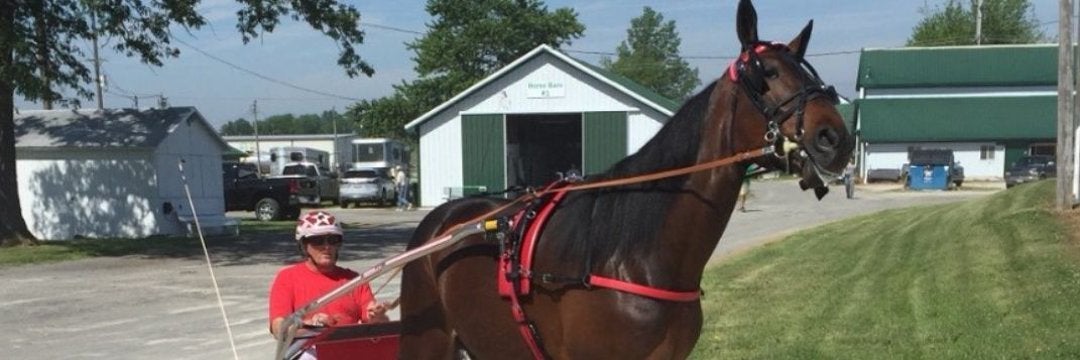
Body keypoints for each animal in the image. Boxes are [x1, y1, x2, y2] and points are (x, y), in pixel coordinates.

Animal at [397, 0, 851, 356]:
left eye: (810, 73)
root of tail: (441, 218)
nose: (835, 138)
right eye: (765, 73)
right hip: (427, 341)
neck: (633, 254)